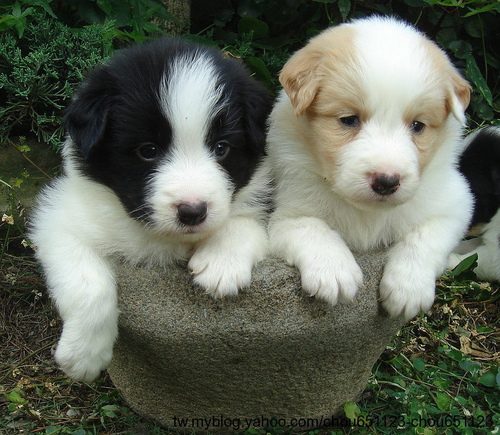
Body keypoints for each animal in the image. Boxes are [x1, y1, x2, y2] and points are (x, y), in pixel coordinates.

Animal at [29, 38, 272, 381]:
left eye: (222, 148)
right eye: (148, 150)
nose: (193, 212)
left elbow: (244, 219)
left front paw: (221, 263)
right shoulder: (60, 217)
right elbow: (90, 286)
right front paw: (85, 355)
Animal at [266, 16, 472, 320]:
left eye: (418, 126)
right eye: (349, 119)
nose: (386, 182)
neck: (367, 213)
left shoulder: (455, 204)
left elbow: (425, 237)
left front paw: (408, 287)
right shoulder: (287, 214)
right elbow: (312, 227)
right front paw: (333, 271)